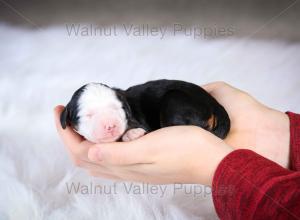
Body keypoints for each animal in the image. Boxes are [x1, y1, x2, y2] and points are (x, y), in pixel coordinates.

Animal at [59, 80, 231, 144]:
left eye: (116, 108)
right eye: (87, 115)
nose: (110, 126)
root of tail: (216, 104)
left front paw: (132, 133)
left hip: (174, 99)